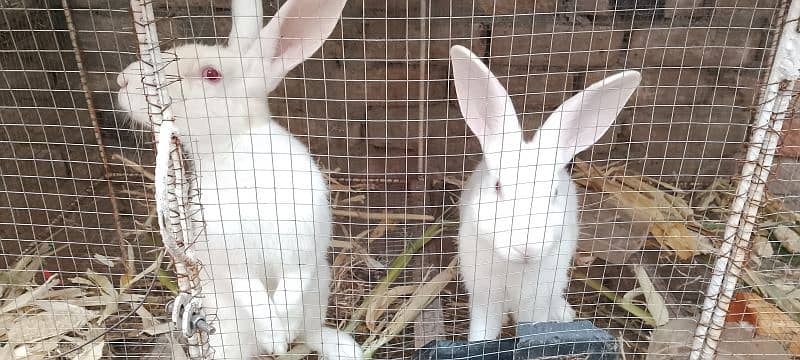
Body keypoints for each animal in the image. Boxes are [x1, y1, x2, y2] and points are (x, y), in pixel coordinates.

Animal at [115, 0, 362, 360]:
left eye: (211, 74)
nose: (122, 80)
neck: (233, 147)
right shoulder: (230, 257)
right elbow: (252, 293)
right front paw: (275, 337)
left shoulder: (303, 245)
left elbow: (292, 284)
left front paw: (282, 329)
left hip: (321, 286)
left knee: (311, 331)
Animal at [450, 44, 644, 340]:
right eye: (497, 186)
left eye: (553, 192)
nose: (527, 247)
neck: (515, 267)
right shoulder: (484, 297)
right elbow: (482, 332)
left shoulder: (535, 301)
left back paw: (564, 314)